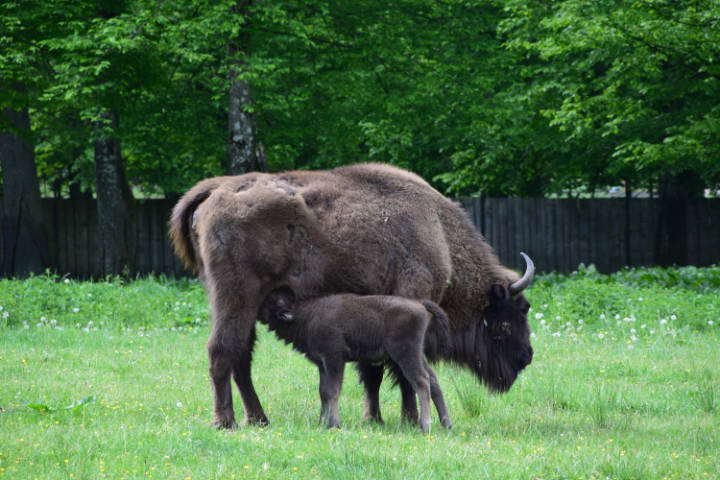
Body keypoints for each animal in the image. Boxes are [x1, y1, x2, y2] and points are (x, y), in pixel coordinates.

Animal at [258, 288, 450, 436]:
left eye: (273, 301)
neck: (306, 315)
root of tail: (419, 305)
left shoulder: (334, 359)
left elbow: (332, 391)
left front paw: (333, 424)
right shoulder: (322, 364)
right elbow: (323, 392)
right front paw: (322, 423)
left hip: (406, 355)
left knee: (422, 381)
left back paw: (425, 427)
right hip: (417, 355)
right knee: (433, 380)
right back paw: (447, 424)